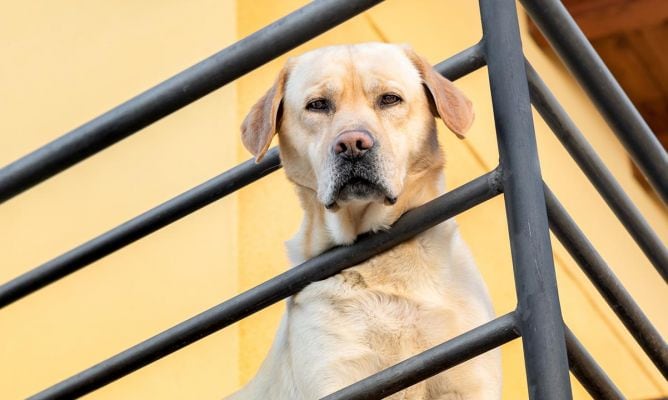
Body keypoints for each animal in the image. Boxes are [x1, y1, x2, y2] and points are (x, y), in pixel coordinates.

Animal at [227, 43, 498, 400]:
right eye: (318, 105)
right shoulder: (337, 376)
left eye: (389, 99)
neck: (384, 261)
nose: (353, 144)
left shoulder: (469, 379)